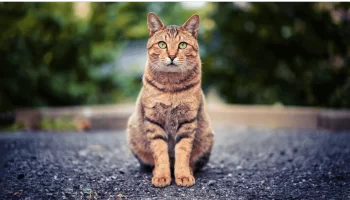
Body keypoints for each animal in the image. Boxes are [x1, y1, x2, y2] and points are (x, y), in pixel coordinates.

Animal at [126, 12, 213, 188]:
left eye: (182, 45)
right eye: (162, 44)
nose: (172, 56)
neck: (171, 85)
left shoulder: (187, 120)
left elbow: (183, 151)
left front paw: (183, 175)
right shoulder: (154, 120)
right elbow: (160, 152)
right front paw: (161, 176)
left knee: (193, 162)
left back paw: (189, 170)